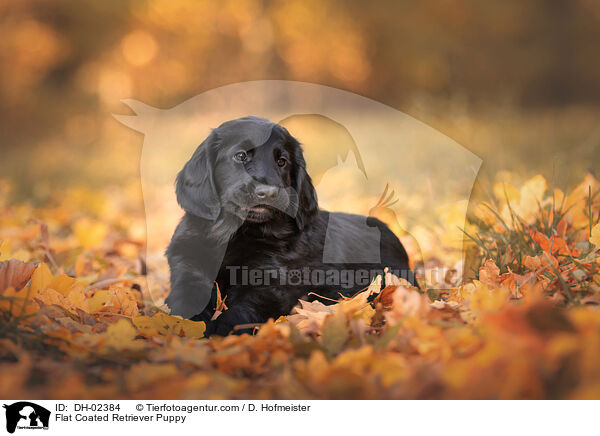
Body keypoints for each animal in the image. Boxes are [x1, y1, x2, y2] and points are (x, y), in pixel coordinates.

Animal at [165, 116, 418, 338]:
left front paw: (222, 328)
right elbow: (186, 300)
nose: (268, 192)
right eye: (241, 156)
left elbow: (244, 309)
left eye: (282, 161)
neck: (234, 232)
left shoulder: (272, 284)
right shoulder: (188, 266)